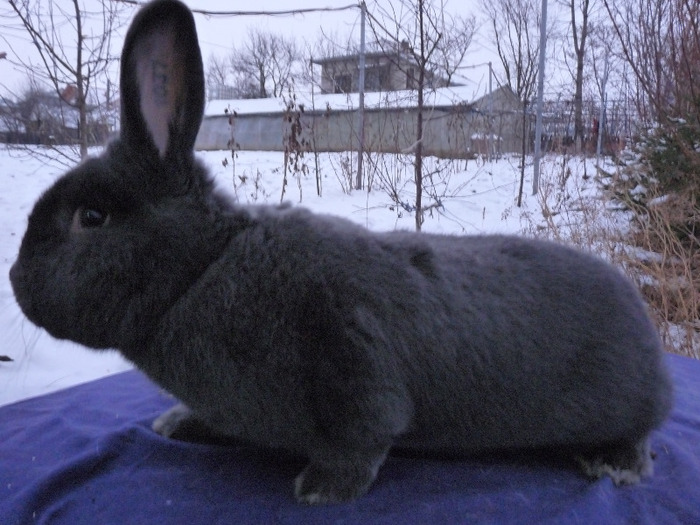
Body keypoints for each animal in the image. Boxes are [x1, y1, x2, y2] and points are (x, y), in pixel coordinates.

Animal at [6, 0, 672, 504]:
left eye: (91, 218)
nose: (13, 278)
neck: (203, 267)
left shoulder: (353, 360)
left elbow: (365, 438)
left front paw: (321, 489)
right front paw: (176, 424)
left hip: (624, 404)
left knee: (640, 432)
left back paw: (612, 464)